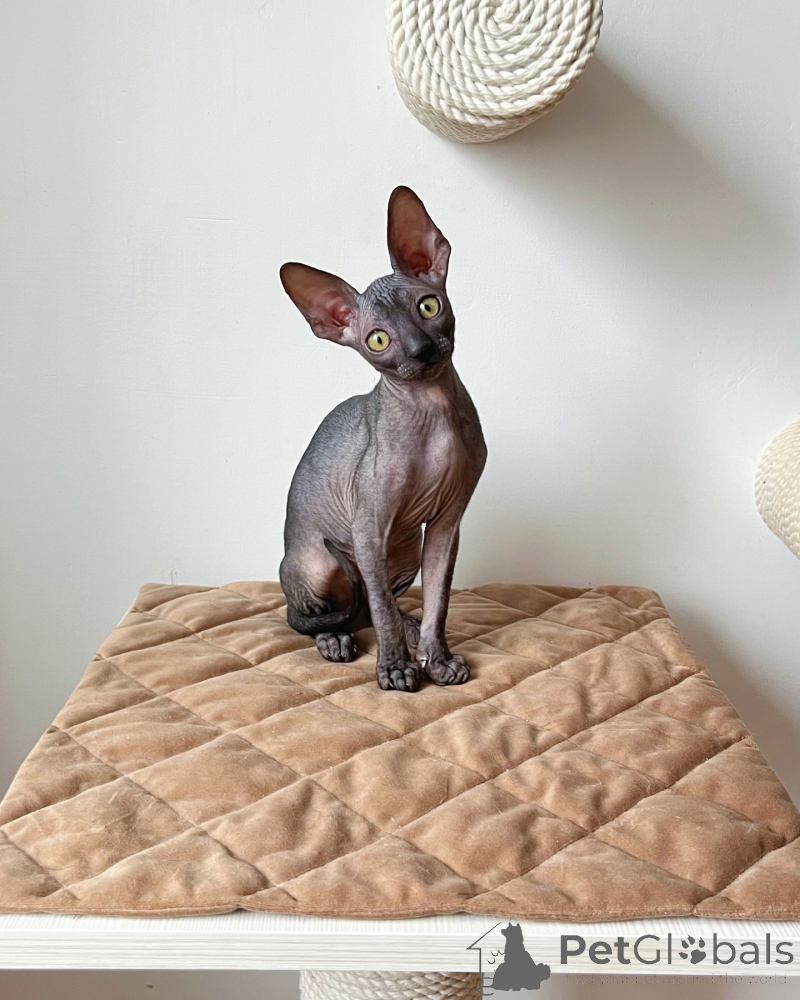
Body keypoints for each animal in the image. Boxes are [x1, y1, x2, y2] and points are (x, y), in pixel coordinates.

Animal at [278, 187, 486, 692]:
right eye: (377, 340)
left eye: (428, 307)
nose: (420, 350)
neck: (432, 411)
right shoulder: (368, 527)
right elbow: (381, 612)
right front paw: (395, 669)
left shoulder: (448, 523)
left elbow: (437, 602)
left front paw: (435, 657)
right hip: (323, 559)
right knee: (326, 614)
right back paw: (335, 638)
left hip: (406, 548)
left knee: (373, 607)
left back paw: (405, 629)